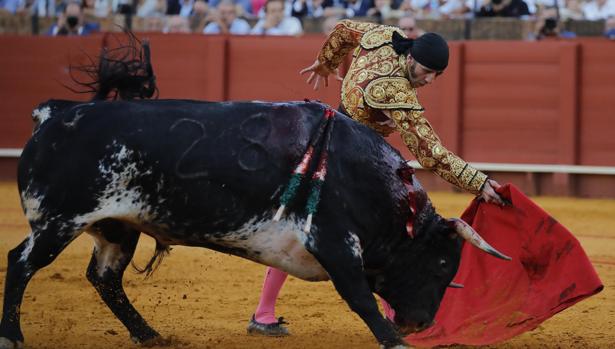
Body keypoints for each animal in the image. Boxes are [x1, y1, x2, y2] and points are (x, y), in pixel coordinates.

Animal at [0, 38, 510, 348]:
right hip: (60, 221)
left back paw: (149, 334)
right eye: (442, 264)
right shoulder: (334, 242)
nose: (421, 322)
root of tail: (53, 114)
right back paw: (12, 334)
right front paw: (394, 338)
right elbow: (361, 297)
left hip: (117, 226)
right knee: (21, 262)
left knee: (105, 278)